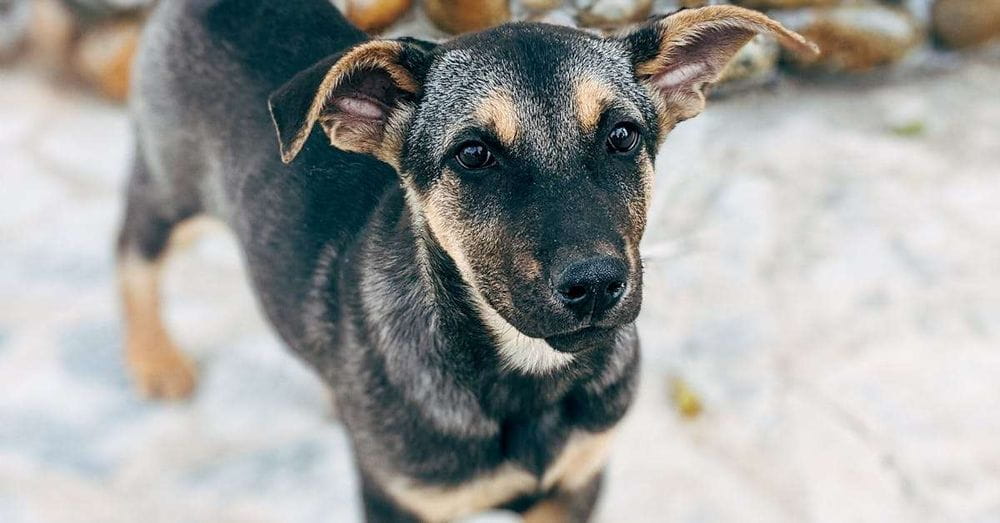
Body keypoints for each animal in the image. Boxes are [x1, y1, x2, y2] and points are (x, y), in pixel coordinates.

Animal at [117, 1, 816, 520]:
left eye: (622, 137)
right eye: (474, 155)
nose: (596, 285)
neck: (528, 372)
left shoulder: (577, 484)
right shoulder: (404, 505)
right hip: (169, 187)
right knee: (130, 252)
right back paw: (156, 360)